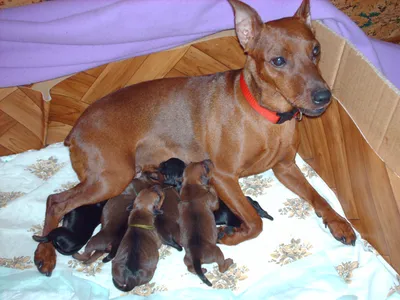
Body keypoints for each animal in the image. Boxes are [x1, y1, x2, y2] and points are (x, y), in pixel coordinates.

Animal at [32, 0, 354, 276]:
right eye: (278, 60)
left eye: (316, 50)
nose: (324, 97)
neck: (266, 116)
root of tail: (76, 127)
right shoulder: (224, 176)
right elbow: (254, 221)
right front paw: (231, 236)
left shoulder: (285, 168)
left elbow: (320, 197)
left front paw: (339, 223)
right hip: (111, 178)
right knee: (55, 201)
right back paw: (44, 254)